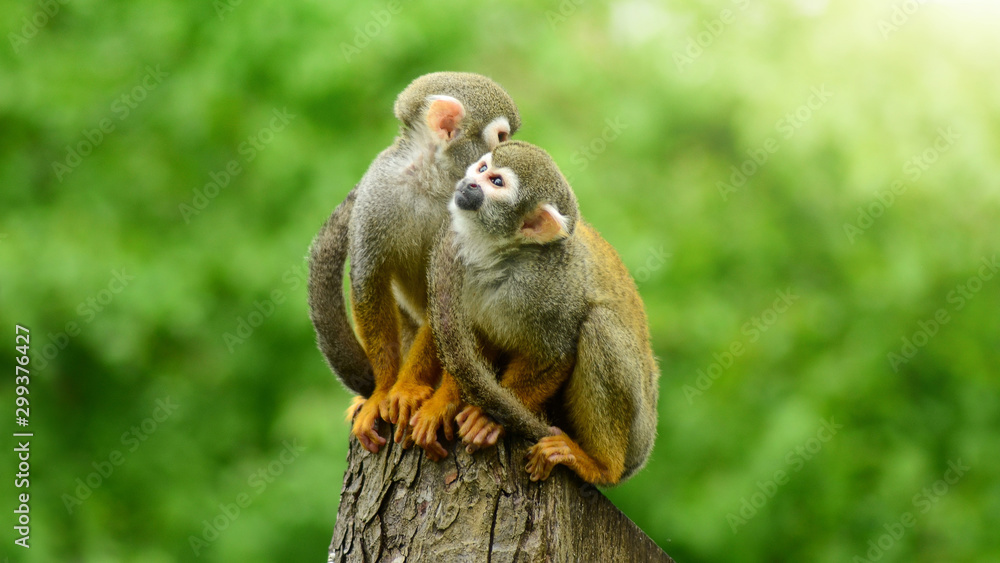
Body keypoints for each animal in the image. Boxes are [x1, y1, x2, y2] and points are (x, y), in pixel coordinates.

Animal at [307, 72, 521, 454]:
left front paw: (406, 389)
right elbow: (369, 280)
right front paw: (382, 391)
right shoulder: (378, 188)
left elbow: (446, 307)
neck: (430, 178)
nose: (506, 155)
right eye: (500, 138)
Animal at [425, 140, 659, 485]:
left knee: (599, 325)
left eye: (496, 182)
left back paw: (601, 466)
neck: (504, 255)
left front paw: (488, 419)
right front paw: (446, 402)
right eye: (482, 168)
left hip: (638, 428)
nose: (468, 183)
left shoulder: (553, 286)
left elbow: (554, 355)